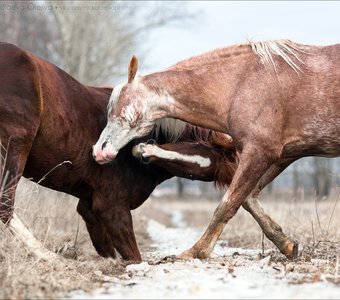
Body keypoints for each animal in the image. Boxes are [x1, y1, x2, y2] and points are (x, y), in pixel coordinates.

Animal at [0, 42, 294, 262]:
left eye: (200, 168)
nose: (142, 152)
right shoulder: (112, 207)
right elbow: (133, 256)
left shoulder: (90, 208)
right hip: (13, 149)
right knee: (5, 205)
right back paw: (45, 254)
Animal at [93, 39, 340, 260]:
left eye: (119, 109)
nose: (99, 151)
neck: (242, 85)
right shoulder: (283, 155)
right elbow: (248, 198)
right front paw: (287, 245)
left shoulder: (260, 152)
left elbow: (227, 205)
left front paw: (195, 252)